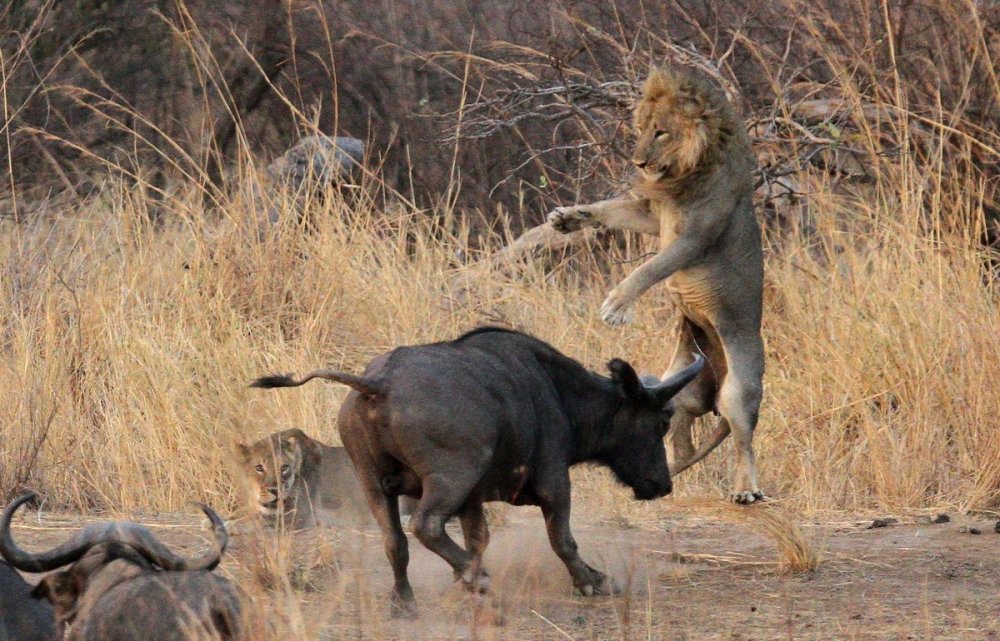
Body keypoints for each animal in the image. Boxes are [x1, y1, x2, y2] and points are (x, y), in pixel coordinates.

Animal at [252, 324, 704, 616]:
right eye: (663, 420)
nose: (662, 484)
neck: (558, 394)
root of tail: (380, 384)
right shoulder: (554, 483)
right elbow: (562, 539)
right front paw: (592, 581)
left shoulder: (471, 500)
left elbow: (478, 537)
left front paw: (461, 580)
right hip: (448, 479)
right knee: (425, 525)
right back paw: (477, 577)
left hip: (373, 485)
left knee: (395, 540)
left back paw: (406, 600)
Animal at [548, 67, 764, 502]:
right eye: (642, 129)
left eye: (661, 132)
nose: (638, 161)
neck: (683, 172)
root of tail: (715, 377)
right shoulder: (652, 215)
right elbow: (609, 209)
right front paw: (569, 218)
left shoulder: (693, 239)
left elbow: (649, 270)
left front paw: (616, 306)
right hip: (676, 392)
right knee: (680, 442)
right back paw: (665, 478)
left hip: (740, 385)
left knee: (742, 439)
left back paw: (746, 490)